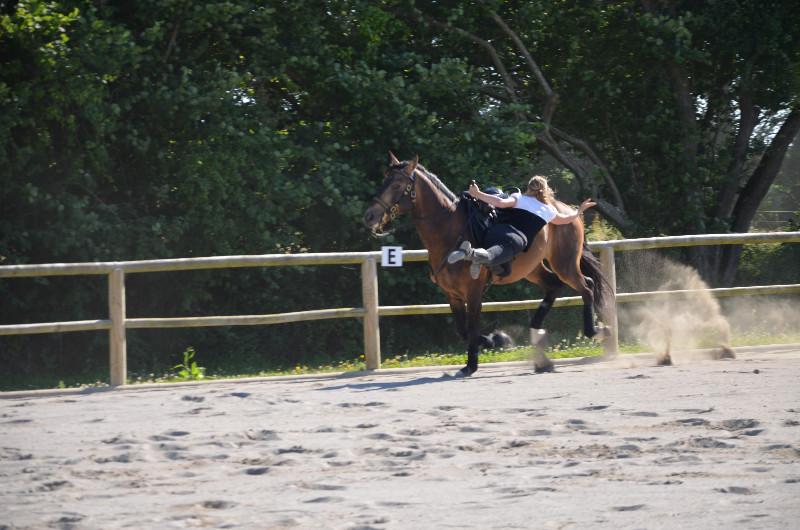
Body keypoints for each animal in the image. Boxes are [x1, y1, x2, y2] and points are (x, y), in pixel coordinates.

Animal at [362, 153, 612, 376]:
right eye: (384, 179)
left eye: (397, 184)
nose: (370, 216)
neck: (451, 232)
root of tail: (568, 212)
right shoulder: (452, 295)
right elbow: (463, 330)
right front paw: (494, 340)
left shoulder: (473, 292)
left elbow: (472, 328)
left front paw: (471, 364)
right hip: (533, 269)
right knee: (554, 286)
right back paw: (539, 342)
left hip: (565, 264)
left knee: (586, 287)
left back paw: (596, 331)